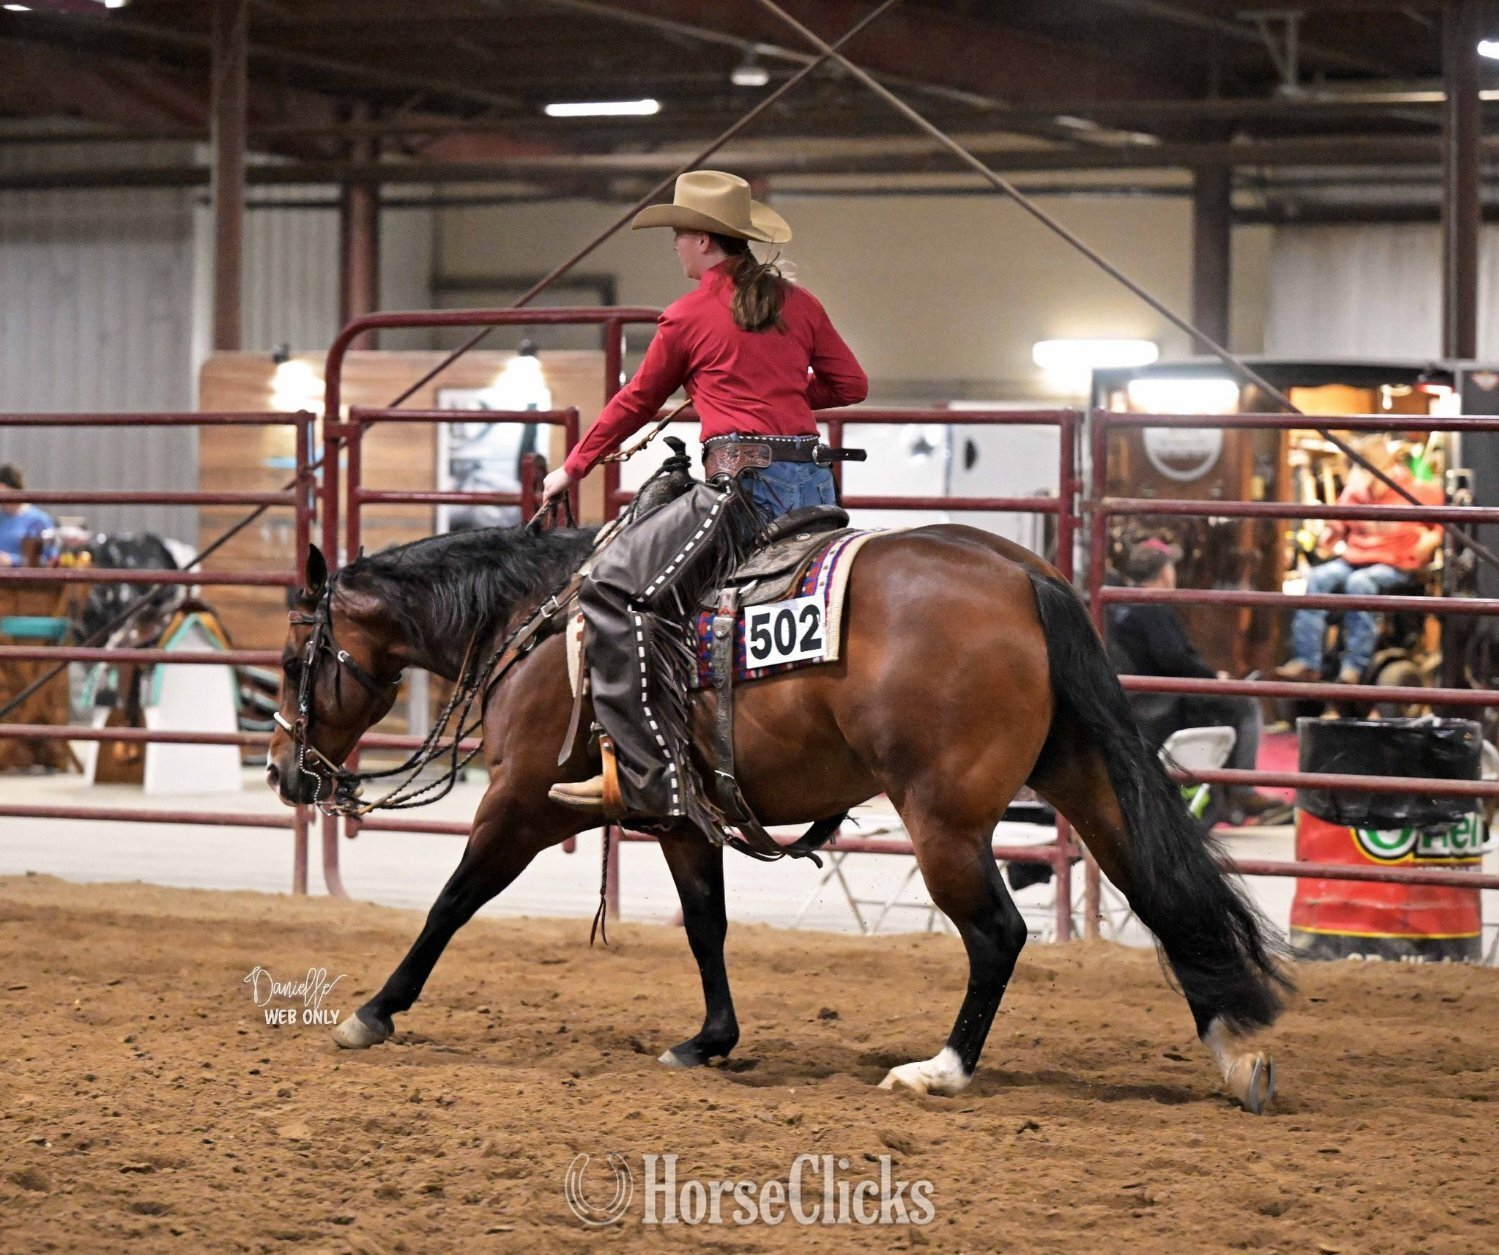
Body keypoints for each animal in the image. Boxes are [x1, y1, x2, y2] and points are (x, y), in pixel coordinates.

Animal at [266, 521, 1291, 1113]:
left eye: (287, 660)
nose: (283, 772)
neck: (535, 620)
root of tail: (1019, 573)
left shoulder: (517, 801)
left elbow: (451, 901)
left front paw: (372, 1010)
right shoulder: (680, 817)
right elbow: (706, 923)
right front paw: (709, 1039)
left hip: (943, 819)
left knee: (997, 932)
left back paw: (940, 1069)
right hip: (1081, 775)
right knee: (1155, 890)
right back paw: (1234, 1051)